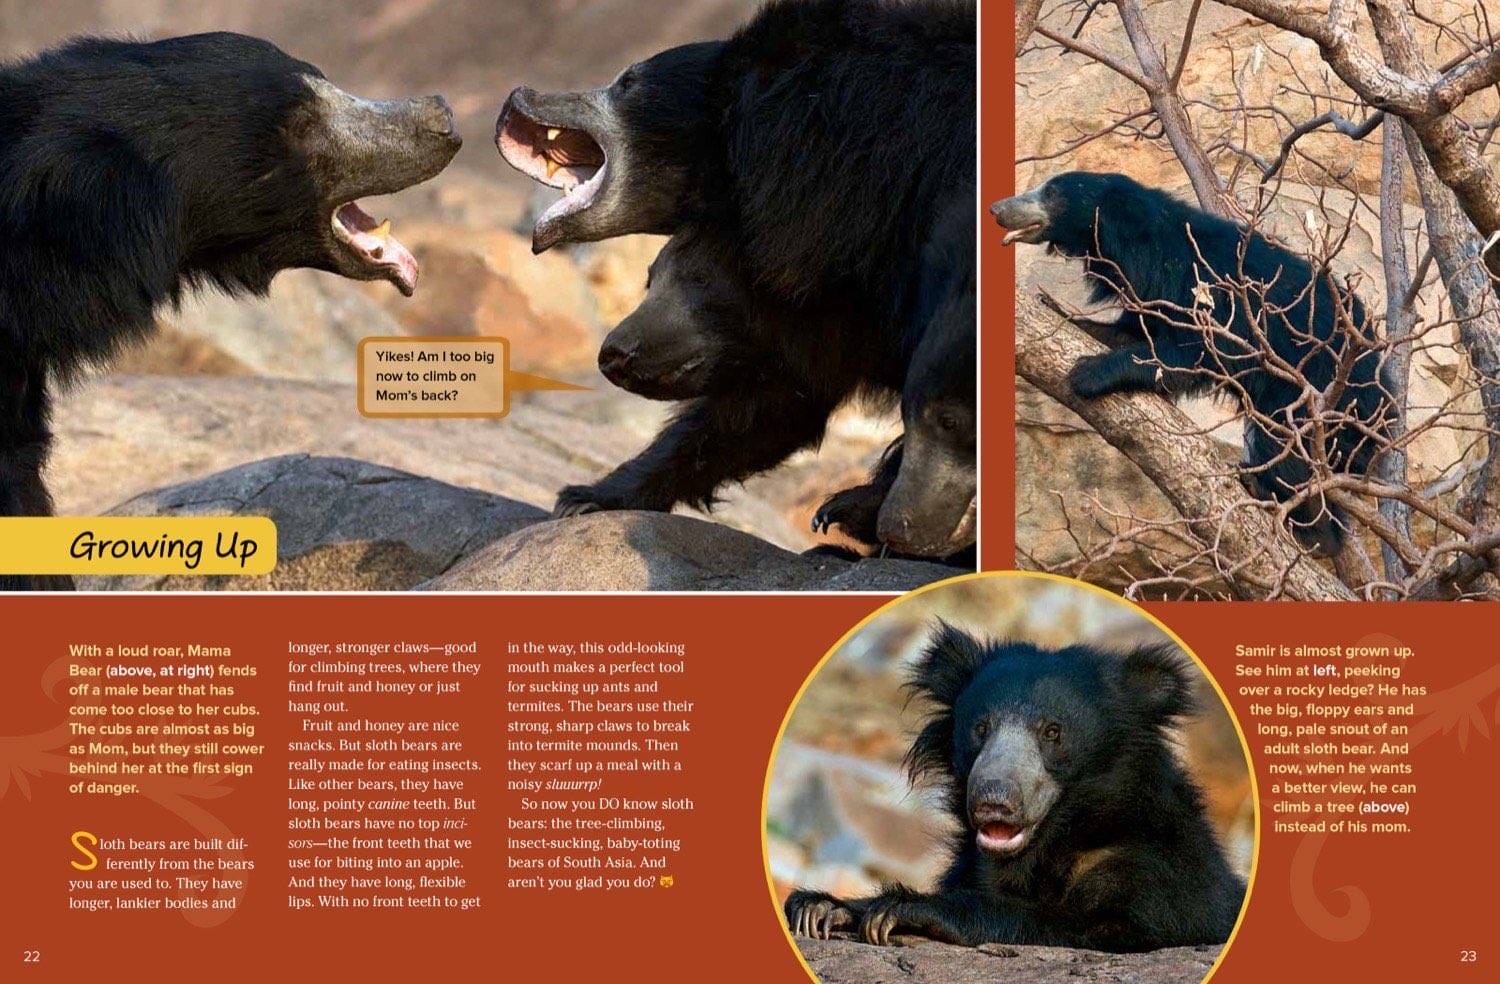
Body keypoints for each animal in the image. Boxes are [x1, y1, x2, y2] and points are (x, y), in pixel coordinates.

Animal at [785, 623, 1246, 952]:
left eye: (1053, 732)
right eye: (981, 728)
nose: (994, 802)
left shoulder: (1158, 878)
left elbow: (1084, 924)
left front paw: (903, 909)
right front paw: (820, 908)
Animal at [991, 171, 1394, 557]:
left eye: (1052, 192)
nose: (997, 208)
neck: (1140, 246)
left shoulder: (1210, 294)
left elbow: (1193, 351)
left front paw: (1088, 372)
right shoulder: (1151, 294)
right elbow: (1130, 331)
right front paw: (1056, 309)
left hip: (1324, 387)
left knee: (1283, 441)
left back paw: (1294, 515)